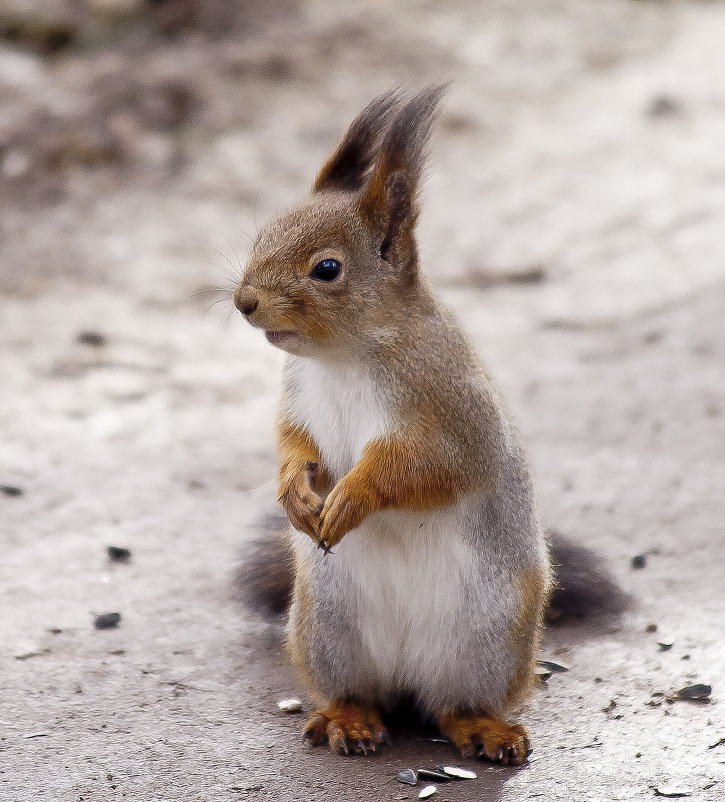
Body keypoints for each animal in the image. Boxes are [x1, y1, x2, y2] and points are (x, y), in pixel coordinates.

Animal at [230, 87, 624, 764]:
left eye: (327, 268)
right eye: (263, 235)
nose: (244, 302)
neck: (346, 356)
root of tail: (405, 674)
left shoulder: (450, 416)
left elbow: (422, 469)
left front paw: (352, 496)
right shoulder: (298, 399)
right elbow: (292, 443)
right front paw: (293, 492)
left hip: (487, 639)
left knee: (453, 706)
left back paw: (484, 728)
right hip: (328, 630)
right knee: (361, 692)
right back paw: (349, 718)